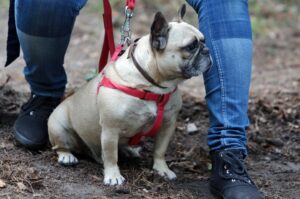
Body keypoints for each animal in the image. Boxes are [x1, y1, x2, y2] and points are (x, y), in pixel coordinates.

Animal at [48, 4, 211, 185]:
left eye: (203, 41)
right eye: (191, 47)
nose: (207, 50)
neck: (154, 86)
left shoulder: (168, 125)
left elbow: (160, 150)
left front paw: (162, 169)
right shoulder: (110, 129)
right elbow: (111, 156)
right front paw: (113, 176)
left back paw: (129, 151)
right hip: (58, 127)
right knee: (60, 146)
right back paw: (67, 156)